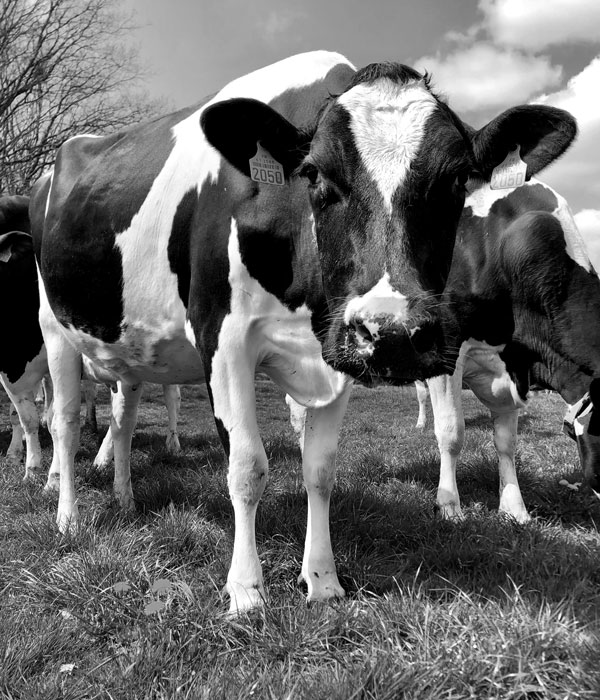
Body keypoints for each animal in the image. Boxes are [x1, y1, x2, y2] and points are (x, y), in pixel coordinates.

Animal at [31, 50, 576, 613]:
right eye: (313, 174)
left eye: (459, 179)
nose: (394, 332)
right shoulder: (224, 342)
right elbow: (247, 467)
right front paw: (246, 591)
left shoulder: (338, 355)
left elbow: (320, 470)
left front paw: (322, 580)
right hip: (54, 331)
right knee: (64, 423)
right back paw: (69, 518)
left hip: (128, 353)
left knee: (122, 420)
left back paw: (124, 497)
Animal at [420, 178, 600, 522]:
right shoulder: (446, 347)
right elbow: (452, 433)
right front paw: (449, 507)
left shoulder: (512, 368)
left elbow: (506, 443)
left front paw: (515, 509)